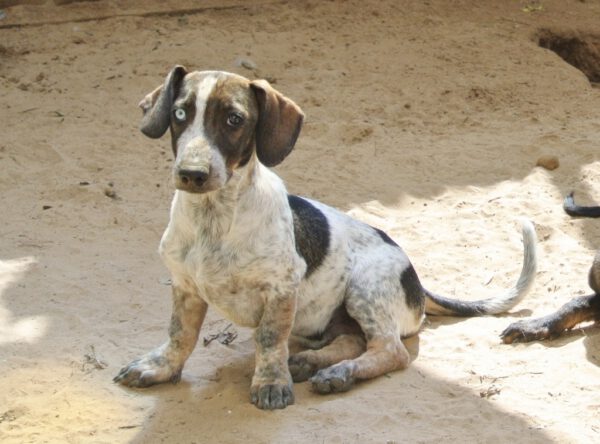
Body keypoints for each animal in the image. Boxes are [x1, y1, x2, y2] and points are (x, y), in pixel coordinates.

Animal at [115, 65, 536, 410]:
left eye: (235, 119)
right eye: (179, 114)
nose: (192, 173)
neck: (213, 220)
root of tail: (417, 283)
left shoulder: (281, 288)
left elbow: (269, 339)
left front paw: (271, 384)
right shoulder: (185, 287)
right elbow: (180, 334)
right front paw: (160, 367)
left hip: (365, 288)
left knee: (391, 351)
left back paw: (338, 373)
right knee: (352, 341)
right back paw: (310, 362)